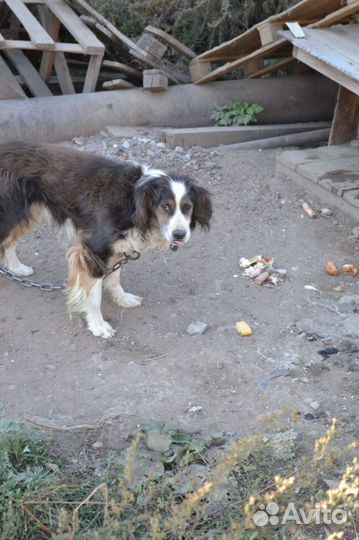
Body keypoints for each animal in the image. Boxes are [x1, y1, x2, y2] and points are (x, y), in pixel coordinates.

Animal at [0, 143, 212, 338]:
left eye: (187, 207)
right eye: (165, 206)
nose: (180, 235)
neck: (132, 201)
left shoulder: (117, 247)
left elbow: (114, 278)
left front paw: (122, 298)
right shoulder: (94, 250)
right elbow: (94, 296)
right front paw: (98, 325)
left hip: (27, 213)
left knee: (10, 242)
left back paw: (16, 268)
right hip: (12, 212)